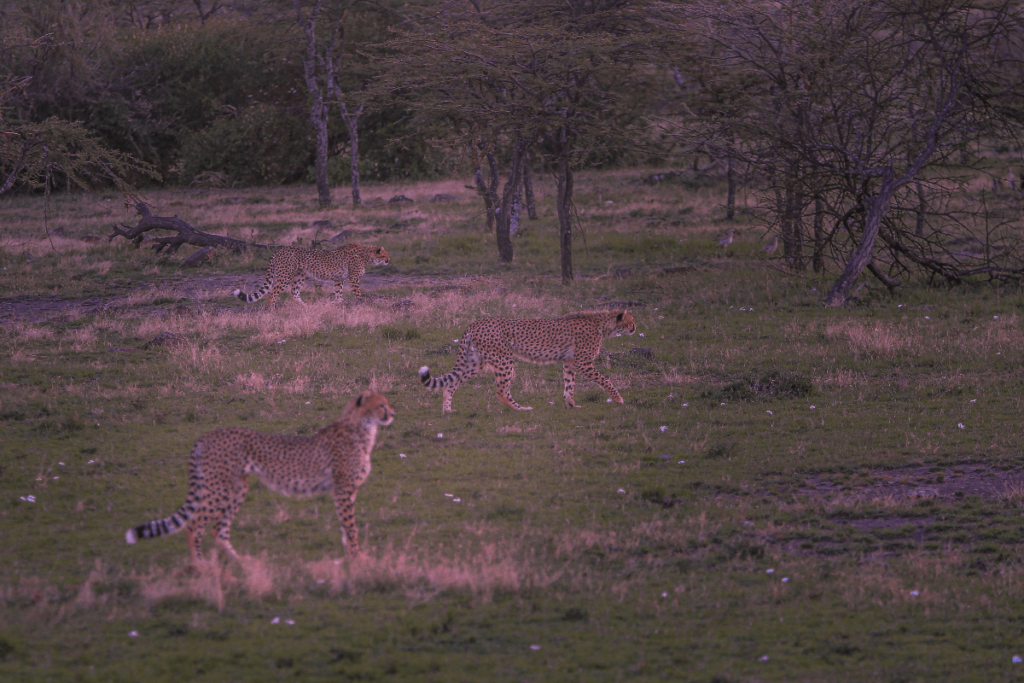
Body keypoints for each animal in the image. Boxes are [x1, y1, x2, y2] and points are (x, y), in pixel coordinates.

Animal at [124, 389, 395, 561]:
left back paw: (242, 564)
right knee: (194, 526)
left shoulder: (345, 491)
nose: (393, 414)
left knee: (218, 529)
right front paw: (358, 559)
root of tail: (208, 434)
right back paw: (203, 568)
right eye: (382, 404)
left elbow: (345, 528)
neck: (361, 428)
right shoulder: (343, 489)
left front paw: (352, 557)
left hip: (237, 487)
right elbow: (351, 527)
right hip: (219, 487)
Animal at [234, 244, 389, 309]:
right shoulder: (353, 278)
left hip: (299, 276)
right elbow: (357, 294)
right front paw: (361, 303)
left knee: (294, 293)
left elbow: (339, 293)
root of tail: (279, 249)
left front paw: (337, 303)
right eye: (384, 255)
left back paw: (306, 307)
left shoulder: (339, 278)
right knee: (272, 293)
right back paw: (272, 311)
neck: (366, 255)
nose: (388, 261)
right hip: (285, 276)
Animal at [419, 309, 634, 411]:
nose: (635, 328)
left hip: (475, 362)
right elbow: (605, 379)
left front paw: (571, 405)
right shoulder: (582, 363)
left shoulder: (569, 362)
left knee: (452, 382)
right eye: (630, 321)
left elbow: (569, 385)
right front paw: (619, 399)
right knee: (501, 391)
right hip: (504, 358)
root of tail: (475, 323)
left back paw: (448, 410)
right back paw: (521, 409)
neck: (602, 325)